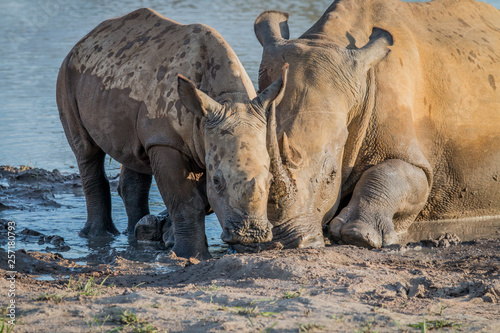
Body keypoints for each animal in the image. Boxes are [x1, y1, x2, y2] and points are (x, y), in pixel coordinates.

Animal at [56, 6, 288, 258]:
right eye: (217, 181)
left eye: (271, 179)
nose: (252, 234)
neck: (227, 99)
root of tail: (85, 39)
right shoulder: (165, 142)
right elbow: (185, 200)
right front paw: (190, 255)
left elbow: (199, 200)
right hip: (67, 74)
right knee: (86, 150)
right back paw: (99, 235)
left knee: (133, 154)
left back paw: (134, 234)